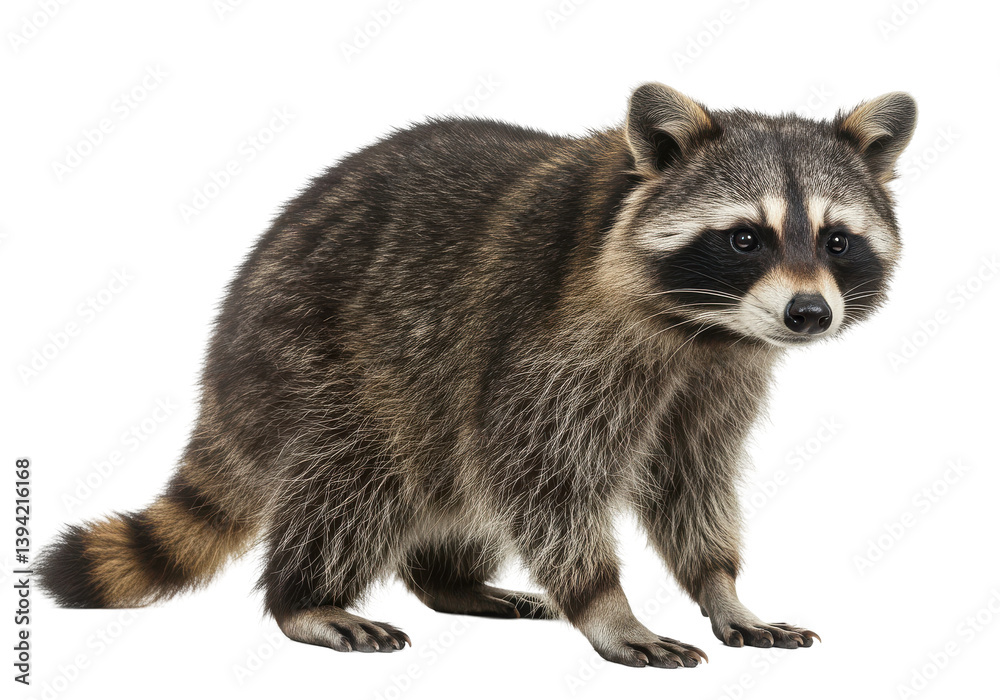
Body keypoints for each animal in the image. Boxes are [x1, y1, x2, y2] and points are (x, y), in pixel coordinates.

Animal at [38, 83, 916, 668]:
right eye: (745, 239)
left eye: (836, 241)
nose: (809, 314)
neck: (702, 330)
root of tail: (227, 340)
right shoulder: (554, 341)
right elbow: (538, 470)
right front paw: (605, 602)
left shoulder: (717, 380)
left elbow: (689, 478)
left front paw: (720, 584)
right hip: (318, 356)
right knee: (359, 473)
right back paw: (307, 598)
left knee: (447, 475)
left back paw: (450, 580)